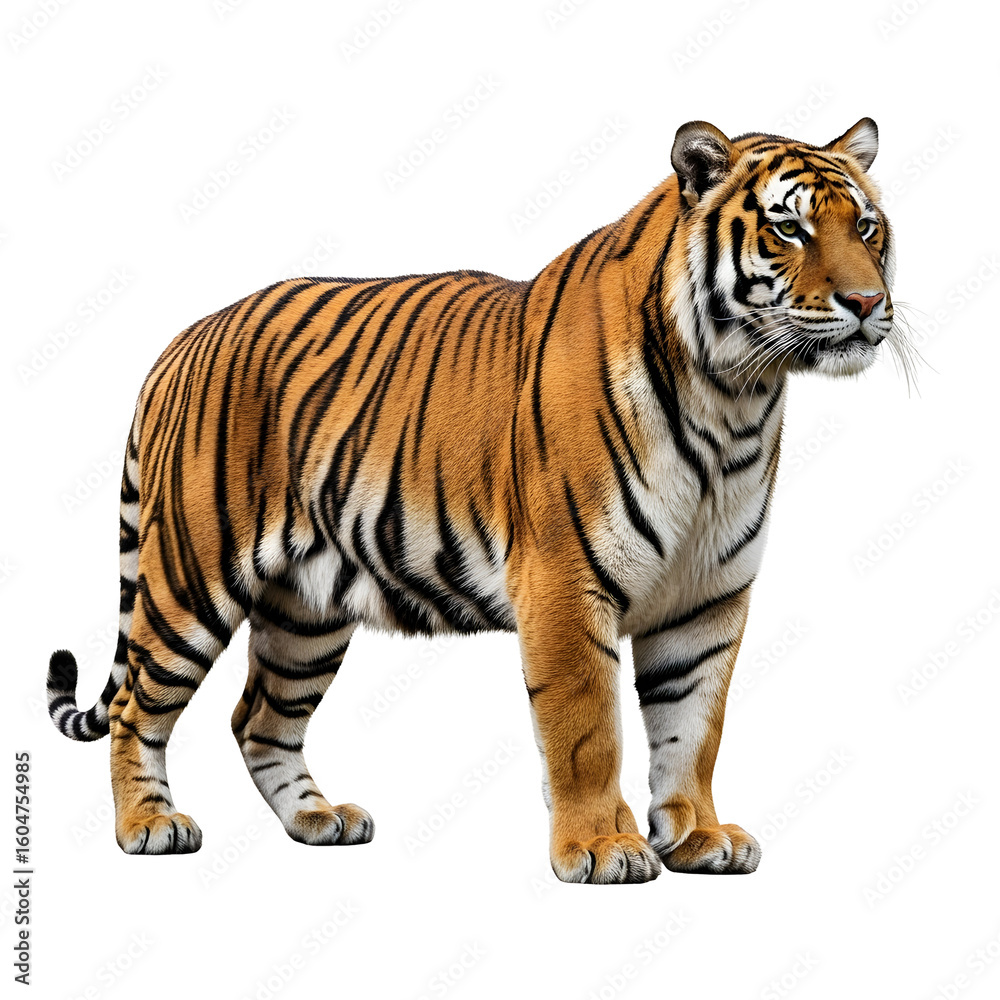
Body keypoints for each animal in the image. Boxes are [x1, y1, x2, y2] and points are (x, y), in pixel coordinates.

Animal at [47, 116, 903, 883]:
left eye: (865, 227)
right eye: (789, 229)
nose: (867, 302)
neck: (734, 398)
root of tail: (180, 342)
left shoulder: (707, 597)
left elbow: (694, 727)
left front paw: (698, 836)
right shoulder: (565, 581)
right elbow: (587, 728)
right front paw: (600, 847)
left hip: (305, 612)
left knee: (258, 719)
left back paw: (318, 820)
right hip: (189, 582)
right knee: (136, 709)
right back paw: (149, 827)